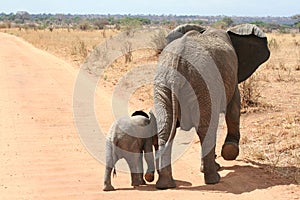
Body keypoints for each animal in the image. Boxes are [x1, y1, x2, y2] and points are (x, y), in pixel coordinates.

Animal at [154, 23, 270, 189]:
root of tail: (178, 59)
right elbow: (234, 108)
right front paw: (229, 152)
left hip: (164, 84)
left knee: (165, 127)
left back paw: (165, 185)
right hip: (202, 83)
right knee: (205, 128)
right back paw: (214, 178)